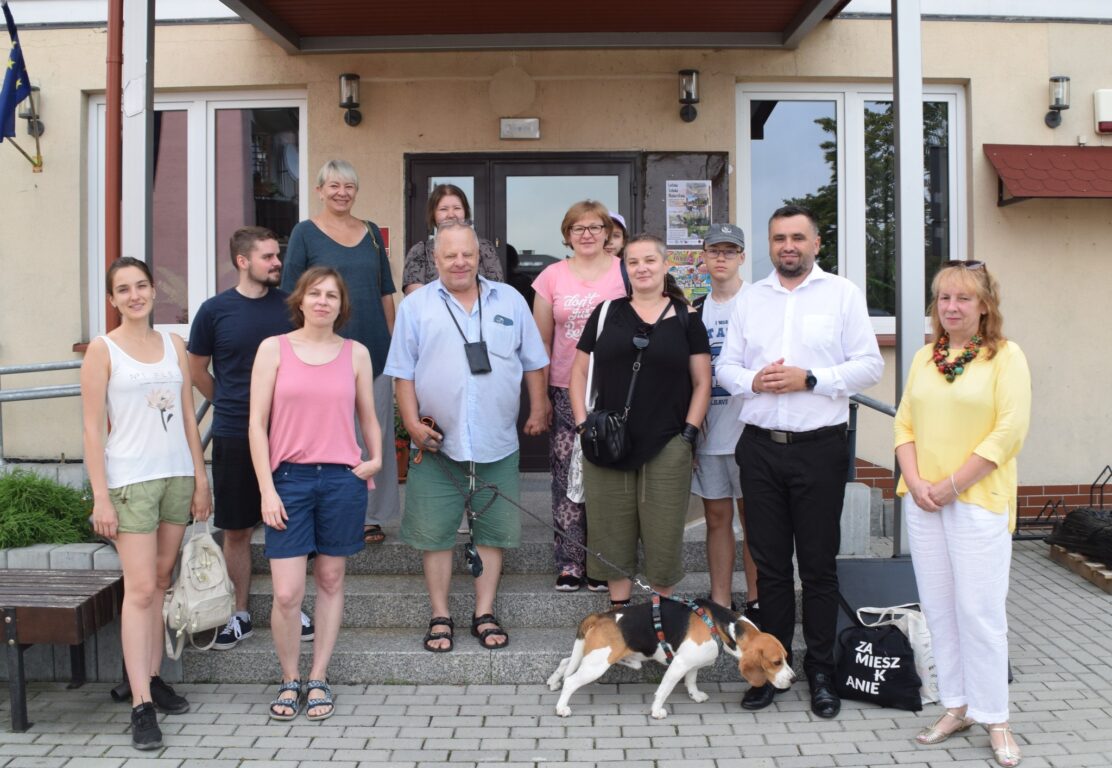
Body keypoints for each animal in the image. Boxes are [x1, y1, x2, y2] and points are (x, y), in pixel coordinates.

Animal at [544, 595, 791, 720]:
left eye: (787, 657)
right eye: (776, 662)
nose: (793, 679)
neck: (719, 624)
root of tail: (600, 616)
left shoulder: (692, 662)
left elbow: (692, 679)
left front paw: (695, 695)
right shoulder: (679, 664)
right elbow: (663, 691)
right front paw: (656, 711)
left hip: (598, 656)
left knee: (566, 662)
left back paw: (553, 681)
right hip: (597, 664)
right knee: (571, 681)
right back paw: (561, 708)